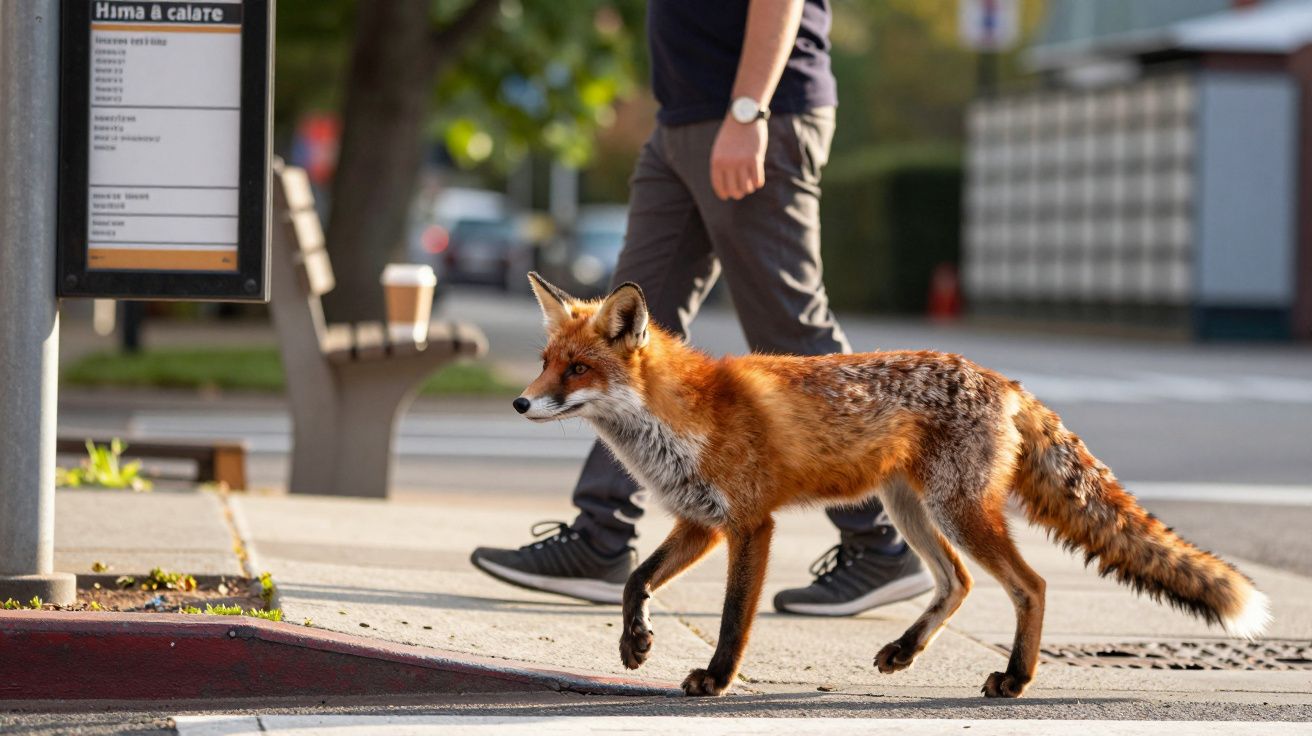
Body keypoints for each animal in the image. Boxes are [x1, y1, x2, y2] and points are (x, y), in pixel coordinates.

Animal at [512, 272, 1271, 698]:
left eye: (577, 368)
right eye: (545, 361)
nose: (519, 404)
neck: (681, 417)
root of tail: (1006, 381)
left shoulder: (751, 524)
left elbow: (731, 619)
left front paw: (716, 680)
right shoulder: (701, 522)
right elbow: (635, 580)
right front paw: (634, 644)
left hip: (957, 510)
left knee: (1029, 585)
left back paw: (1016, 680)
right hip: (909, 508)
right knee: (957, 581)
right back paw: (907, 650)